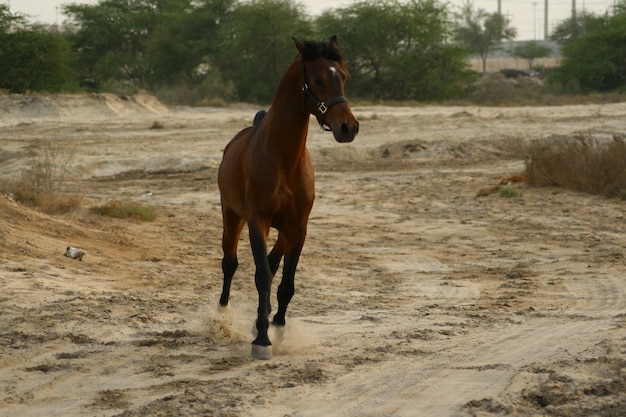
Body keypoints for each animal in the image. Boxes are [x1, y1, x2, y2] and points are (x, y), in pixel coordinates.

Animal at [217, 37, 358, 360]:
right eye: (317, 80)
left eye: (344, 77)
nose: (349, 127)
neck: (284, 158)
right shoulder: (257, 222)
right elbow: (262, 276)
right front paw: (261, 340)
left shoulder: (298, 228)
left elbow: (285, 284)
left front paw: (277, 329)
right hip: (232, 216)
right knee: (230, 263)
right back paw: (221, 316)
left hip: (283, 230)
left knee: (272, 263)